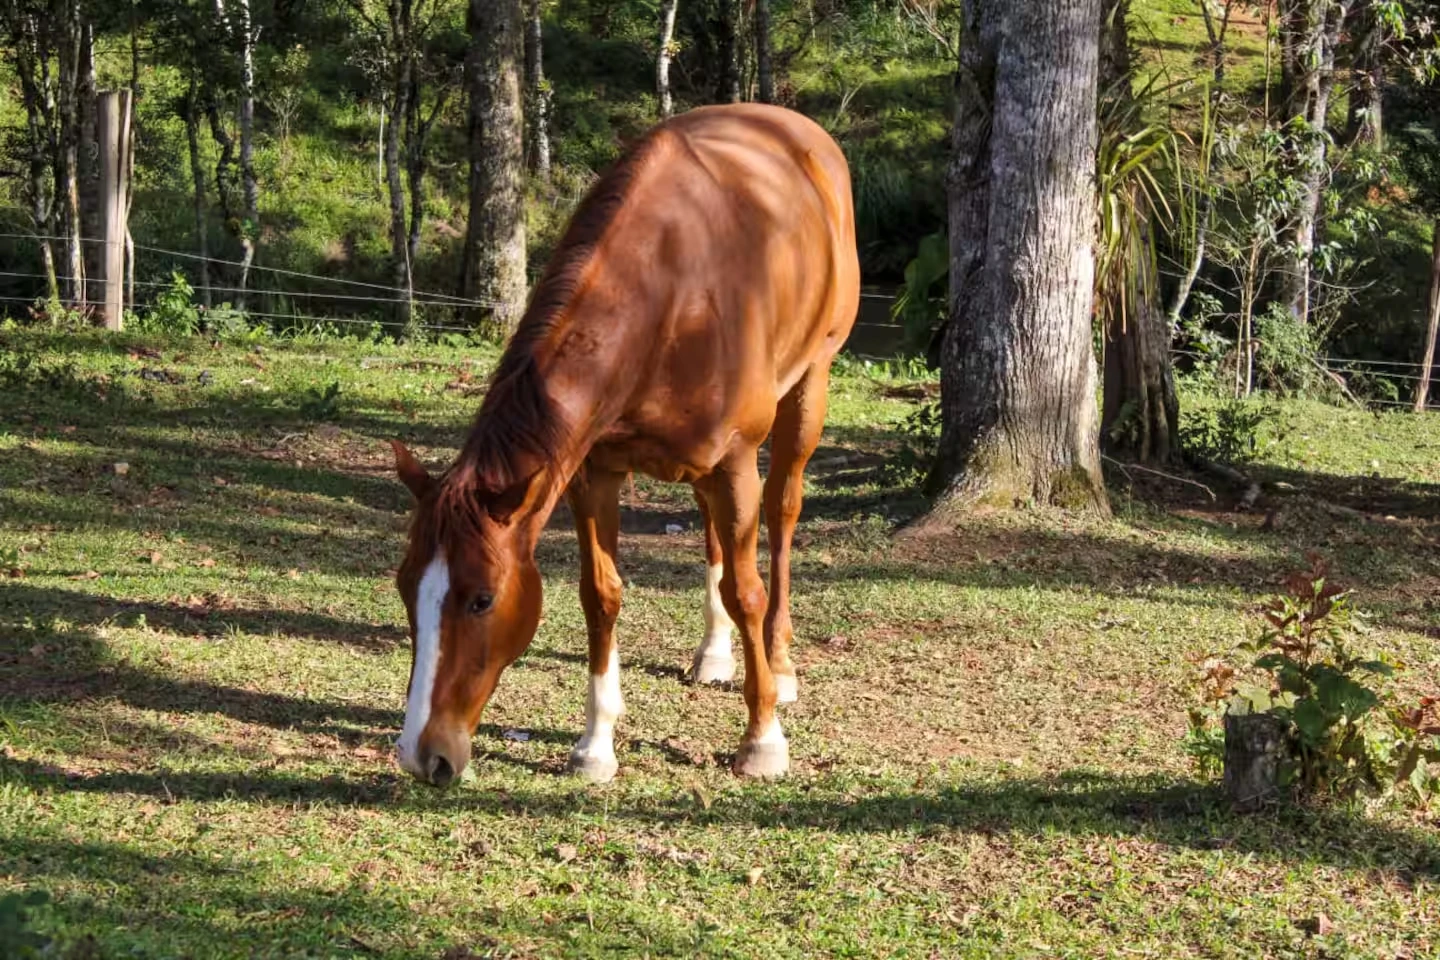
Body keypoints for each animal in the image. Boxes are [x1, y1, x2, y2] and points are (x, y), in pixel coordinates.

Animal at [389, 103, 859, 787]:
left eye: (481, 599)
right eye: (405, 587)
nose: (423, 756)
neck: (670, 295)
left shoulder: (735, 460)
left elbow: (747, 591)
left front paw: (764, 739)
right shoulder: (594, 471)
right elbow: (601, 596)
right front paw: (595, 744)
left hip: (807, 390)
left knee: (781, 515)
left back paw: (780, 662)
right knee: (713, 534)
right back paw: (714, 653)